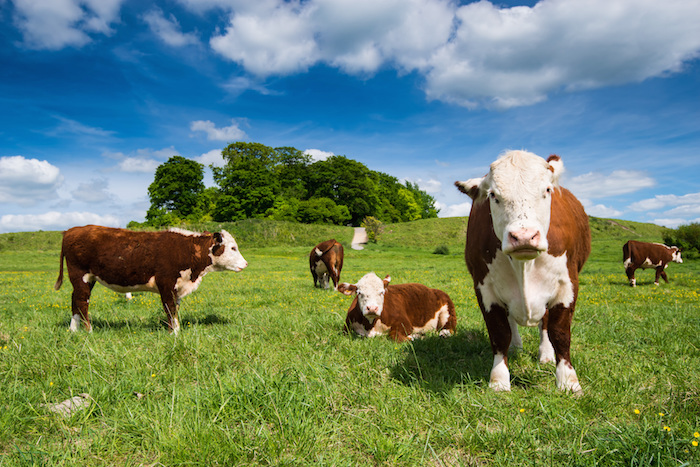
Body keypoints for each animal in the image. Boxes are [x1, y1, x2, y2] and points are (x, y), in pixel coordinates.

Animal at [54, 225, 248, 334]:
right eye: (233, 248)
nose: (245, 264)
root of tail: (72, 230)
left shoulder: (177, 287)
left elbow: (174, 309)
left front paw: (173, 331)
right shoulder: (166, 283)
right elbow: (170, 308)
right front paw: (175, 334)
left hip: (87, 279)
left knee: (75, 300)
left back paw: (73, 330)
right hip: (80, 275)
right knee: (82, 301)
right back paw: (89, 331)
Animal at [455, 150, 591, 394]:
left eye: (547, 190)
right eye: (493, 195)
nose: (524, 237)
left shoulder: (567, 285)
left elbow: (560, 333)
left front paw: (568, 381)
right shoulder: (484, 288)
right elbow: (500, 334)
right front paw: (499, 380)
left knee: (545, 322)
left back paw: (545, 354)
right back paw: (516, 347)